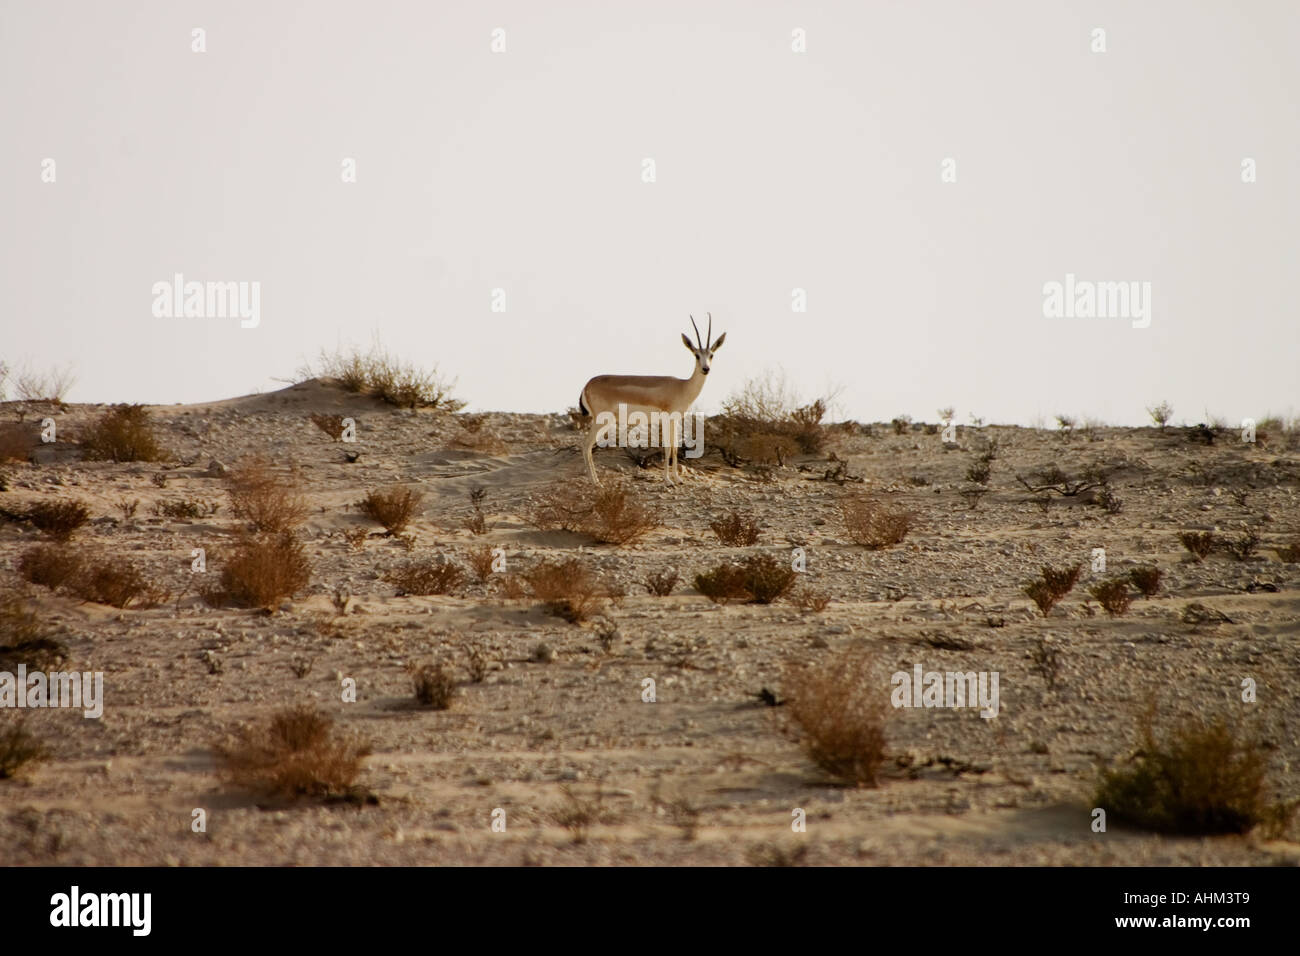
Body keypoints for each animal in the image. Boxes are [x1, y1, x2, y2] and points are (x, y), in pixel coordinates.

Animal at [578, 314, 726, 486]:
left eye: (711, 355)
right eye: (696, 355)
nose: (705, 369)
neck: (683, 387)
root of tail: (587, 385)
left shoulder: (676, 419)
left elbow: (675, 448)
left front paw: (677, 479)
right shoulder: (667, 418)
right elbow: (668, 448)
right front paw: (668, 481)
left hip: (606, 421)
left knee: (588, 446)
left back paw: (596, 481)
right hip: (601, 420)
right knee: (585, 445)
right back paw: (596, 483)